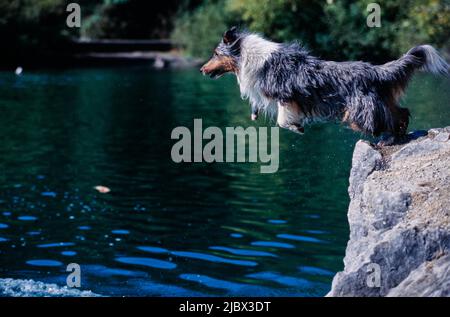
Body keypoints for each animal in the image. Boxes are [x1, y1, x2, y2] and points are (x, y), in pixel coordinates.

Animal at [201, 27, 450, 143]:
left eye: (216, 53)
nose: (202, 69)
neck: (247, 55)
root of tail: (376, 70)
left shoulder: (285, 95)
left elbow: (282, 120)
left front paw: (296, 127)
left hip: (357, 112)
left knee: (380, 123)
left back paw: (389, 137)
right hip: (382, 101)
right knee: (402, 112)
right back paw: (398, 135)